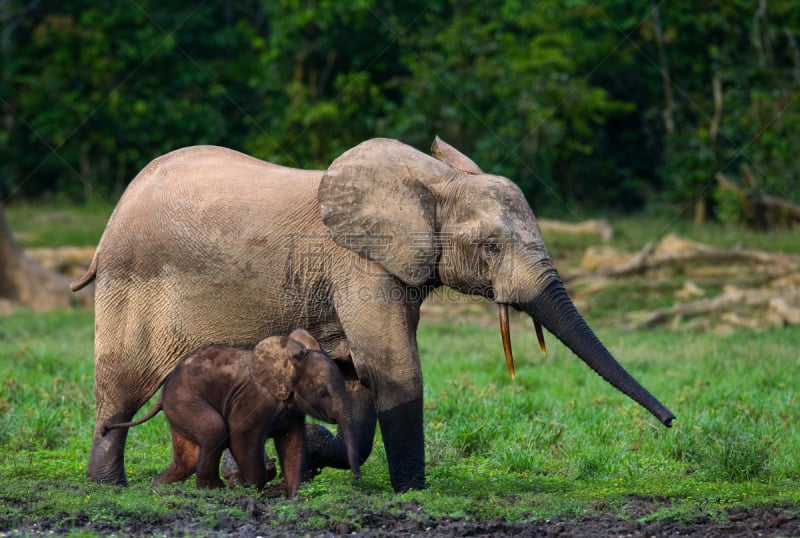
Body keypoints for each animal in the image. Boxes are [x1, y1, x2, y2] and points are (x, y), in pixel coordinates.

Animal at [103, 324, 362, 496]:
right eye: (323, 393)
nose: (357, 479)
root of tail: (164, 391)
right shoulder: (254, 400)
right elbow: (242, 437)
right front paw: (243, 486)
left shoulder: (292, 408)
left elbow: (294, 443)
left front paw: (294, 494)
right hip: (185, 400)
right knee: (214, 430)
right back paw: (212, 489)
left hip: (178, 408)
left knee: (188, 456)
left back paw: (159, 488)